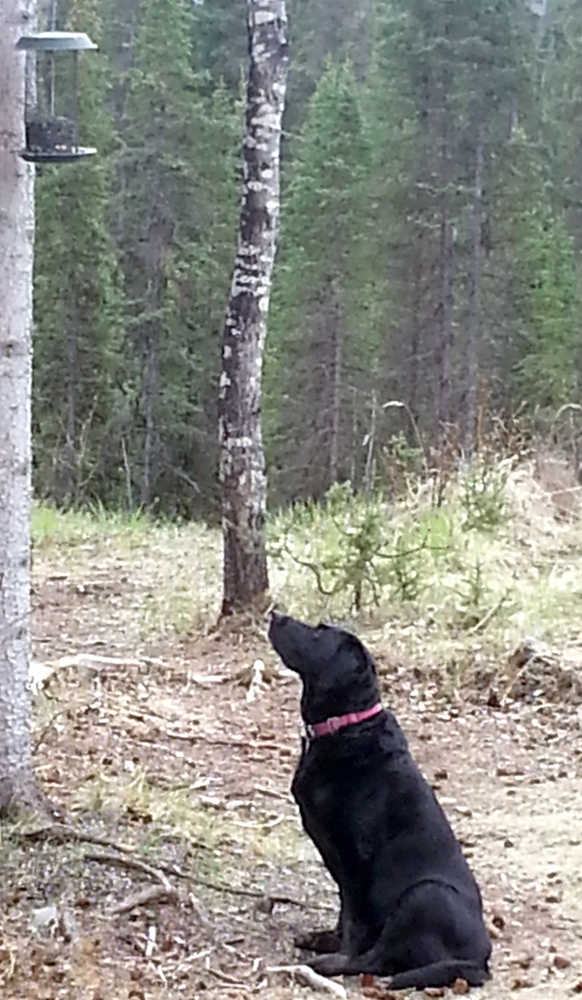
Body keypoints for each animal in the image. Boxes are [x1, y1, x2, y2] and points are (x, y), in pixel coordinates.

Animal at [270, 612, 492, 988]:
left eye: (318, 633)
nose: (274, 614)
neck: (346, 727)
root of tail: (481, 961)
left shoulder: (355, 857)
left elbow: (354, 920)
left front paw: (340, 953)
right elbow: (343, 911)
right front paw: (325, 938)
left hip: (425, 895)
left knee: (379, 960)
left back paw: (327, 965)